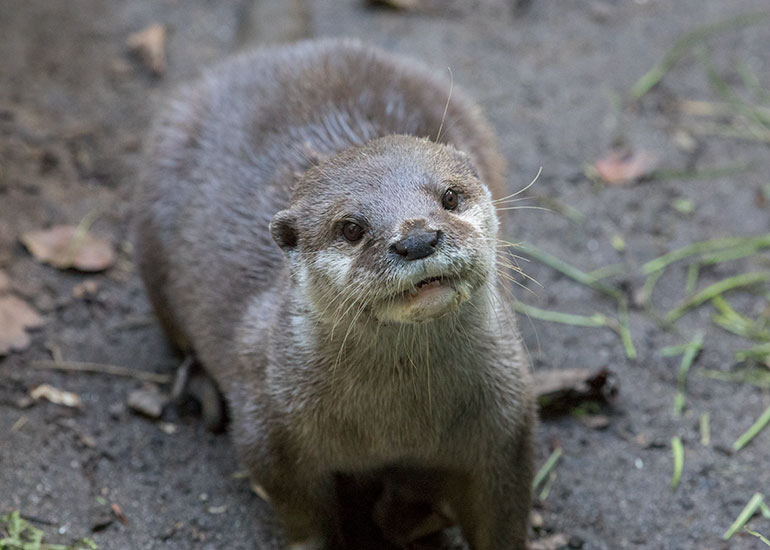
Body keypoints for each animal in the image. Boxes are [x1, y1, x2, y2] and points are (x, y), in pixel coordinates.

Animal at [134, 39, 534, 549]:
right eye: (351, 228)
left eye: (450, 197)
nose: (417, 239)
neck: (399, 425)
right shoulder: (269, 425)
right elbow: (302, 515)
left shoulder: (508, 424)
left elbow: (501, 515)